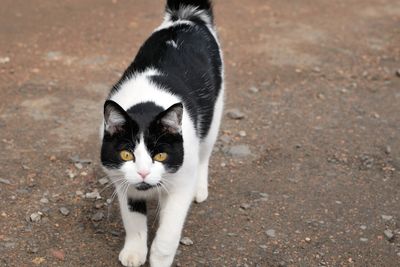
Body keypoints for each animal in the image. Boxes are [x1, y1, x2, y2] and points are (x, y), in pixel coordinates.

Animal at [99, 0, 223, 267]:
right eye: (126, 155)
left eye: (160, 155)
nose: (144, 173)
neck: (147, 102)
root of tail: (186, 18)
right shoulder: (123, 182)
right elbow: (133, 219)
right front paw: (134, 252)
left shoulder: (180, 185)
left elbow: (169, 231)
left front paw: (159, 258)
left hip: (214, 115)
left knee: (204, 154)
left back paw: (200, 188)